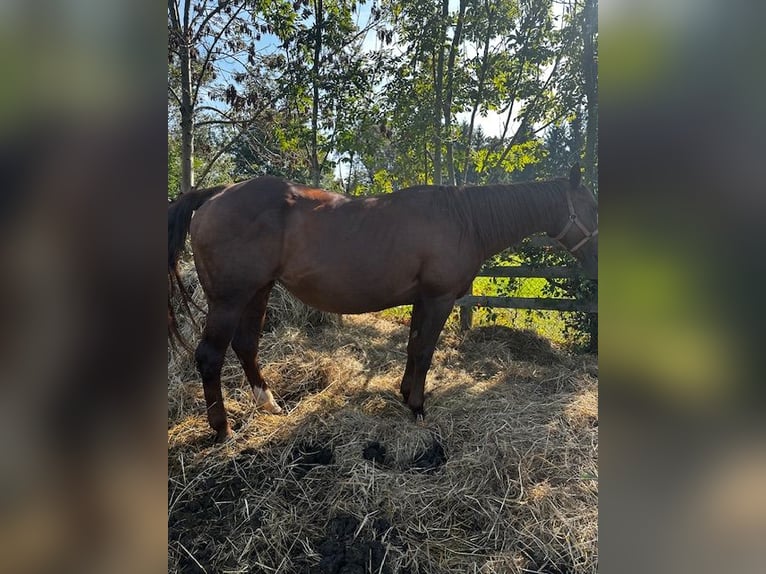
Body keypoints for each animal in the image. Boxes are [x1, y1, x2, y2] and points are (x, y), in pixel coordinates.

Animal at [168, 164, 600, 444]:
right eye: (592, 207)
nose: (599, 260)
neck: (464, 219)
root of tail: (216, 194)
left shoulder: (422, 301)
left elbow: (413, 348)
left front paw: (406, 394)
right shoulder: (439, 299)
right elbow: (424, 352)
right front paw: (418, 407)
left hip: (257, 291)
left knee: (246, 346)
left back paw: (270, 405)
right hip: (229, 299)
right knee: (210, 356)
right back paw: (222, 429)